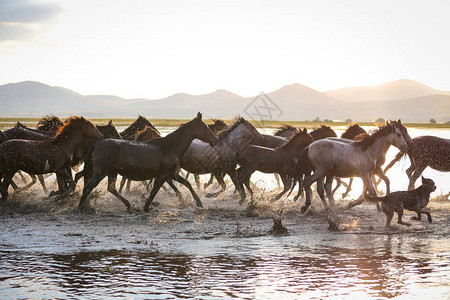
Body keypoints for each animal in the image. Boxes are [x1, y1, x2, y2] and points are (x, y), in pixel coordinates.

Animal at [78, 111, 218, 212]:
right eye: (205, 127)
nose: (215, 141)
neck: (170, 147)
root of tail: (97, 144)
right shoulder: (163, 176)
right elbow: (154, 191)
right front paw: (145, 208)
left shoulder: (171, 174)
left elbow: (187, 184)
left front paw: (199, 202)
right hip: (101, 172)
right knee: (89, 186)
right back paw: (80, 207)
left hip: (111, 172)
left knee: (111, 189)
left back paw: (128, 205)